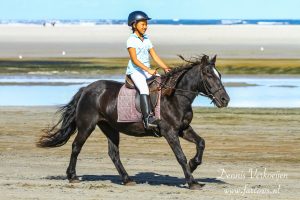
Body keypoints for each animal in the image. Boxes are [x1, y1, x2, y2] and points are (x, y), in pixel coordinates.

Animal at [37, 54, 230, 189]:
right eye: (207, 74)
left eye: (219, 74)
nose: (225, 100)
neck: (175, 97)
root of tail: (86, 89)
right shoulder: (170, 132)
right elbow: (180, 156)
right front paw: (192, 181)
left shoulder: (183, 129)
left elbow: (201, 143)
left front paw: (193, 164)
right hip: (87, 126)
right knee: (76, 147)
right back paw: (72, 176)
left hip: (110, 128)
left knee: (113, 153)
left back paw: (127, 179)